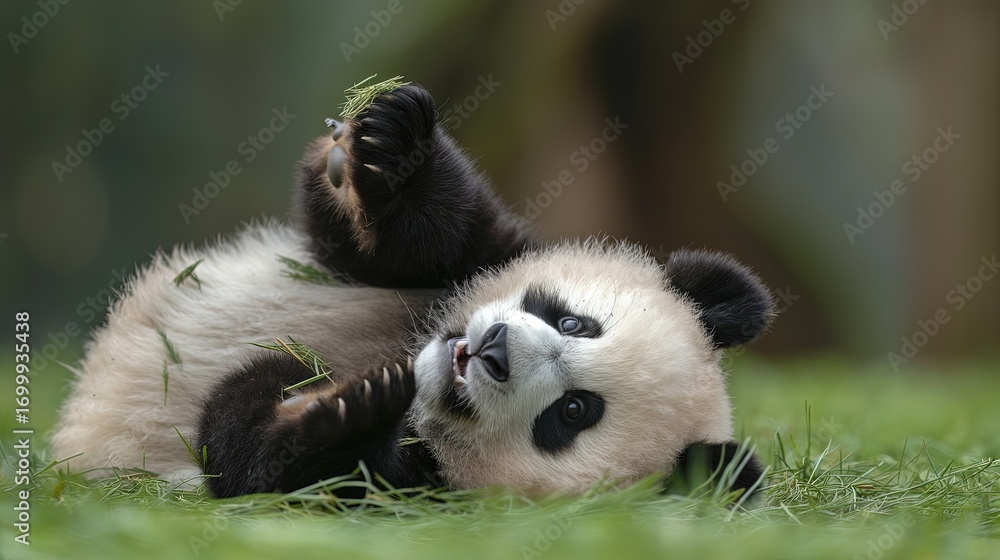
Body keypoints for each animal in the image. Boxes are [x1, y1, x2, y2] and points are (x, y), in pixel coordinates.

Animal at [51, 83, 775, 500]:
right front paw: (388, 138)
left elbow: (275, 478)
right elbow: (398, 240)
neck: (411, 350)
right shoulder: (488, 255)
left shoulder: (417, 490)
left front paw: (342, 414)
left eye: (572, 413)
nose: (492, 351)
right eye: (576, 323)